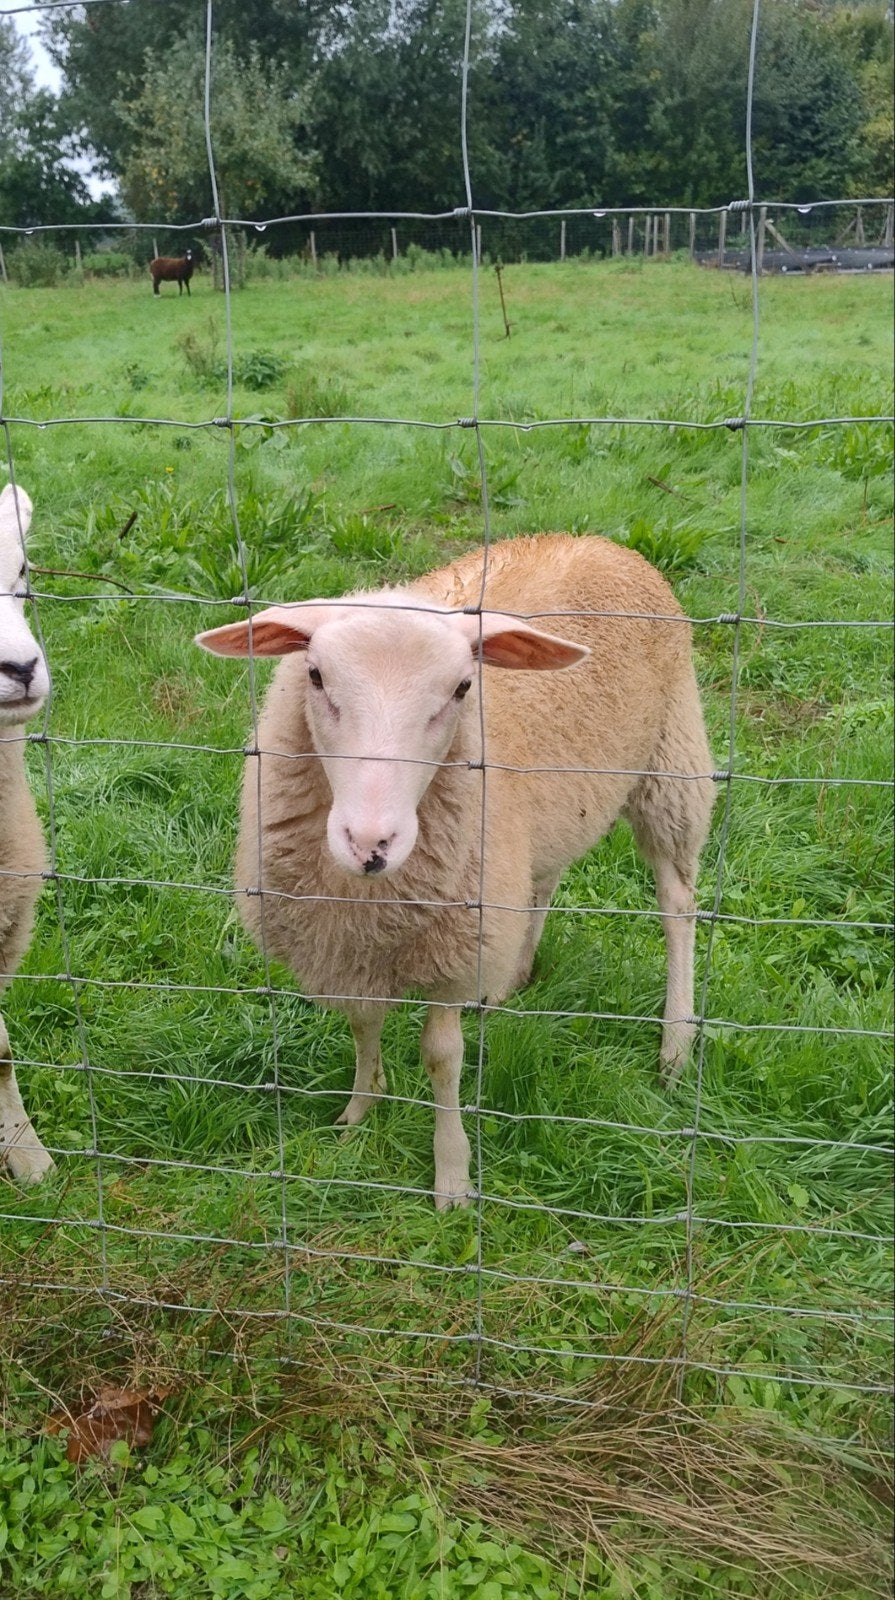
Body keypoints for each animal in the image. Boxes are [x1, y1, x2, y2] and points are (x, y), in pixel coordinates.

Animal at [196, 534, 715, 1208]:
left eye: (464, 688)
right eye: (314, 676)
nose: (370, 842)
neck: (371, 895)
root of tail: (597, 540)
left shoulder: (455, 945)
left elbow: (442, 1057)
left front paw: (452, 1178)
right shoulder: (347, 940)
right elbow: (363, 1020)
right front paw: (360, 1109)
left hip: (672, 764)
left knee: (677, 904)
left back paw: (675, 1045)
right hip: (540, 824)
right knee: (543, 880)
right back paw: (511, 979)